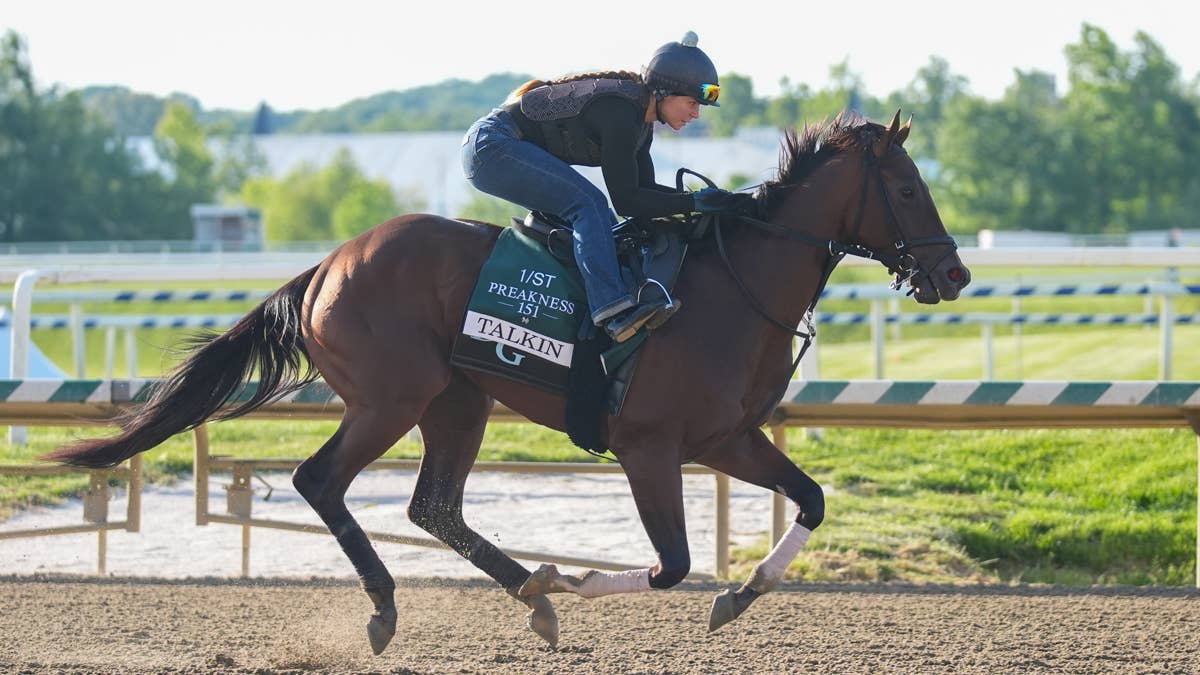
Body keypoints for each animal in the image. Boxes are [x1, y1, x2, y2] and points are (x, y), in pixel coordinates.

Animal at [45, 110, 971, 653]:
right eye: (906, 185)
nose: (954, 273)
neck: (730, 286)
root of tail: (327, 266)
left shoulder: (728, 438)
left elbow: (809, 499)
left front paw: (740, 594)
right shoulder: (648, 446)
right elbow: (669, 562)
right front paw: (583, 578)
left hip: (459, 400)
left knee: (433, 505)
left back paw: (528, 589)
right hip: (392, 397)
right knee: (321, 480)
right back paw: (395, 606)